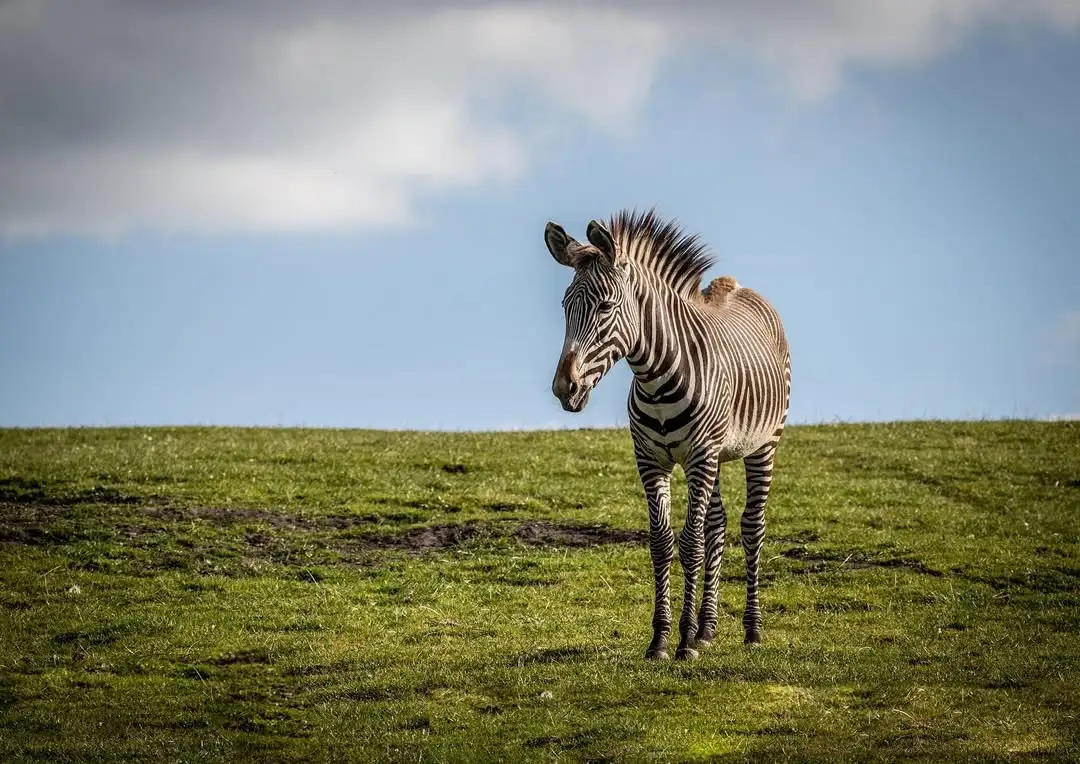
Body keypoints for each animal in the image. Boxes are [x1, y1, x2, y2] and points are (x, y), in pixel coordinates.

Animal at [545, 208, 791, 661]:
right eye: (565, 307)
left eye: (605, 306)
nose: (563, 388)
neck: (656, 378)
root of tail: (736, 286)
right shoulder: (651, 459)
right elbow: (662, 543)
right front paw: (661, 638)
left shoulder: (699, 456)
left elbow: (690, 542)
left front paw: (683, 642)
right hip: (716, 455)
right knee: (718, 524)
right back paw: (708, 629)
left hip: (762, 444)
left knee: (751, 526)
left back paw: (751, 630)